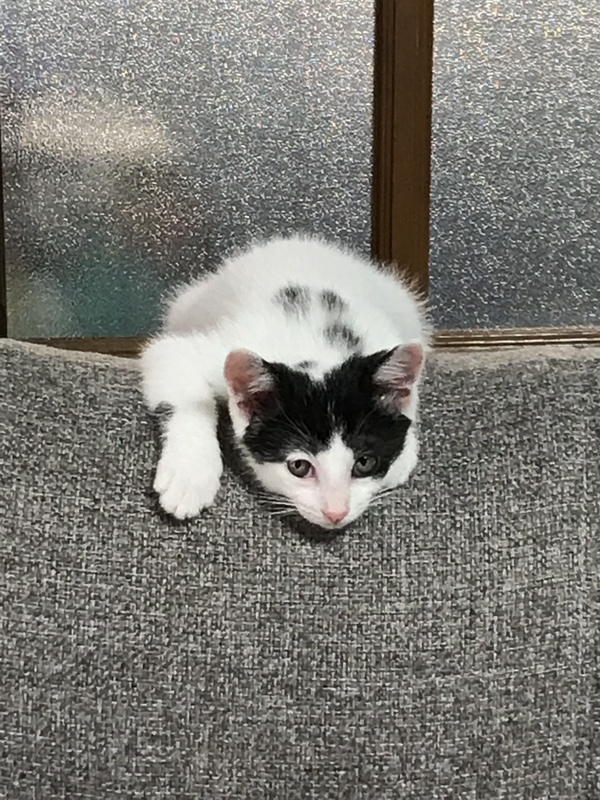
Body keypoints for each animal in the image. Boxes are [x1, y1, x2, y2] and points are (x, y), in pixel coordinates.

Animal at [140, 235, 430, 529]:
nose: (336, 513)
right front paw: (189, 475)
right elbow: (178, 372)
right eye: (299, 467)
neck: (316, 346)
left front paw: (403, 454)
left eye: (364, 463)